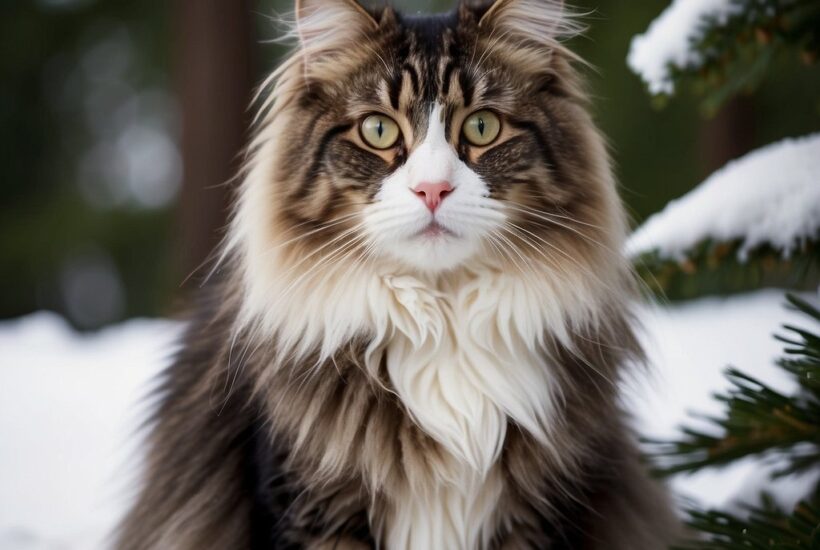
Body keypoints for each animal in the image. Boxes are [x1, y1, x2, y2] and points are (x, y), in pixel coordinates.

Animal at [115, 0, 680, 548]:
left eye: (481, 126)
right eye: (379, 129)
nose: (432, 189)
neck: (442, 324)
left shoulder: (542, 512)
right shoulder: (307, 505)